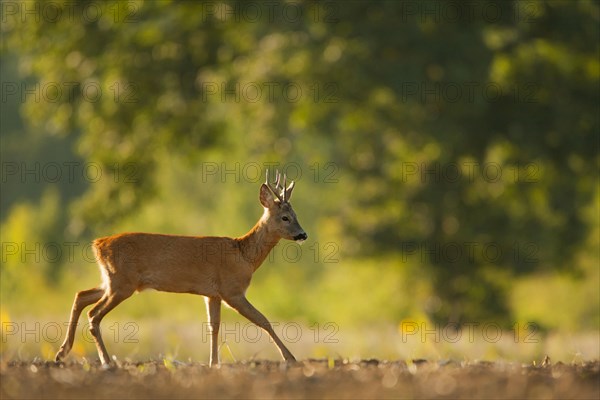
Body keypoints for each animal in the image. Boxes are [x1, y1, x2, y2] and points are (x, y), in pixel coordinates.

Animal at [54, 170, 308, 366]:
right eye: (285, 217)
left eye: (296, 214)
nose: (303, 234)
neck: (244, 256)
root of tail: (98, 244)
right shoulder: (232, 290)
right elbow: (263, 320)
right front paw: (290, 358)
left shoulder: (212, 294)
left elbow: (213, 327)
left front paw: (213, 363)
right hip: (122, 283)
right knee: (93, 314)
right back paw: (106, 361)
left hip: (111, 280)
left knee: (81, 295)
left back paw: (62, 352)